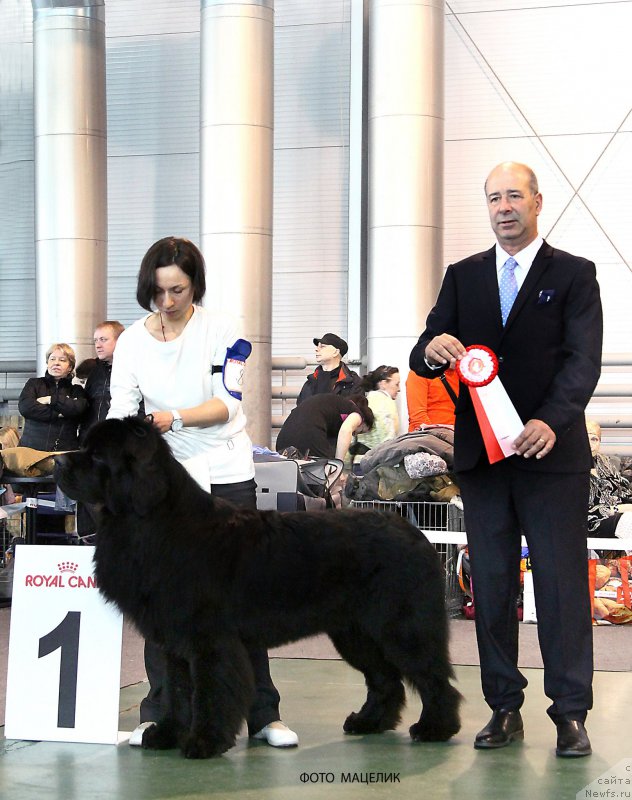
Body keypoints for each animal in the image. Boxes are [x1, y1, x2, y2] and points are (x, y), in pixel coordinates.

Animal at [54, 416, 460, 760]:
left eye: (97, 455)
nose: (58, 464)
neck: (155, 521)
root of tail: (416, 534)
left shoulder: (209, 640)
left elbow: (210, 692)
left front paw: (204, 741)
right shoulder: (174, 641)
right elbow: (176, 691)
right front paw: (167, 734)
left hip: (401, 627)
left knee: (432, 676)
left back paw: (435, 728)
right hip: (354, 633)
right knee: (386, 679)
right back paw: (368, 722)